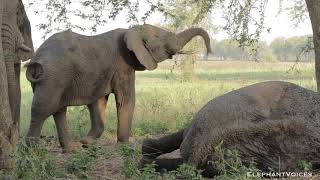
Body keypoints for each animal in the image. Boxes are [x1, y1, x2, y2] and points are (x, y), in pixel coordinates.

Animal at [26, 23, 211, 152]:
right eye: (163, 39)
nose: (209, 52)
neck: (133, 30)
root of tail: (36, 57)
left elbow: (99, 101)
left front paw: (86, 143)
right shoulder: (123, 65)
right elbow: (125, 100)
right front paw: (125, 147)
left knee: (59, 110)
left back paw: (72, 150)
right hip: (52, 77)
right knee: (43, 110)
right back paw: (31, 153)